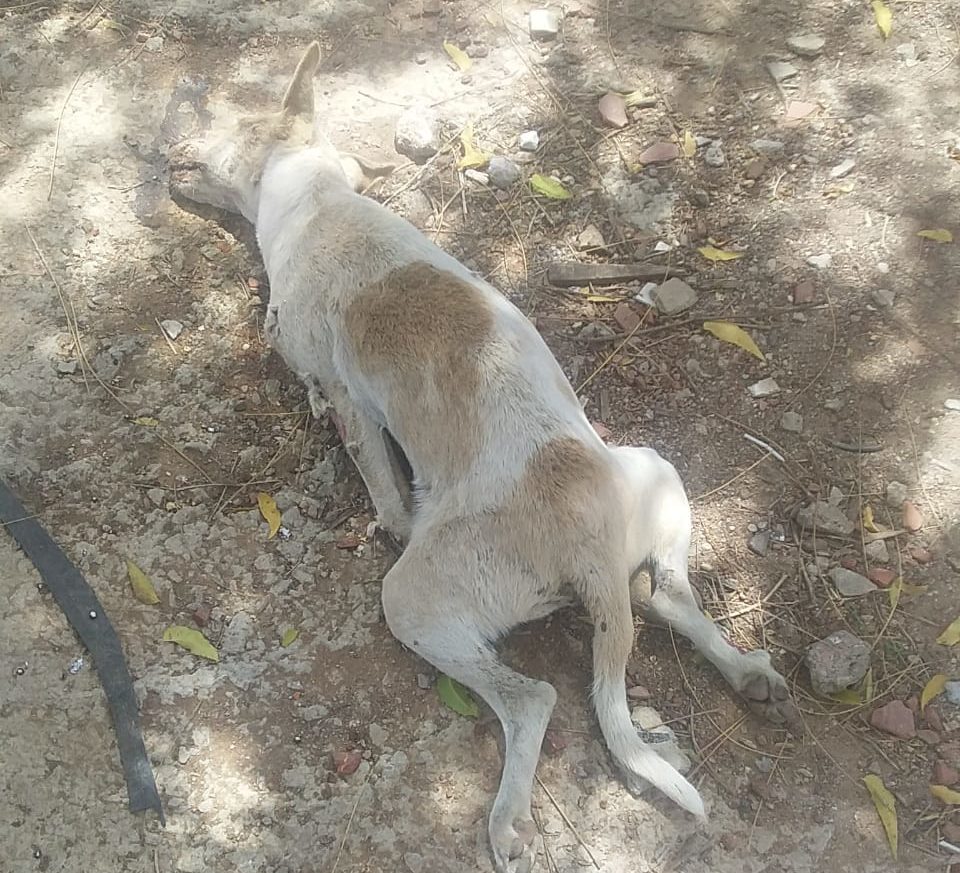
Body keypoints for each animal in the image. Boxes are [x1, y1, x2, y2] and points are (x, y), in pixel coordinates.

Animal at [169, 42, 800, 872]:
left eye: (220, 136)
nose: (168, 156)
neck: (319, 198)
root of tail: (590, 551)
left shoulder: (344, 397)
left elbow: (382, 489)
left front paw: (388, 511)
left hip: (411, 599)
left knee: (534, 698)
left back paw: (508, 821)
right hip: (656, 467)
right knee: (667, 596)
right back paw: (747, 671)